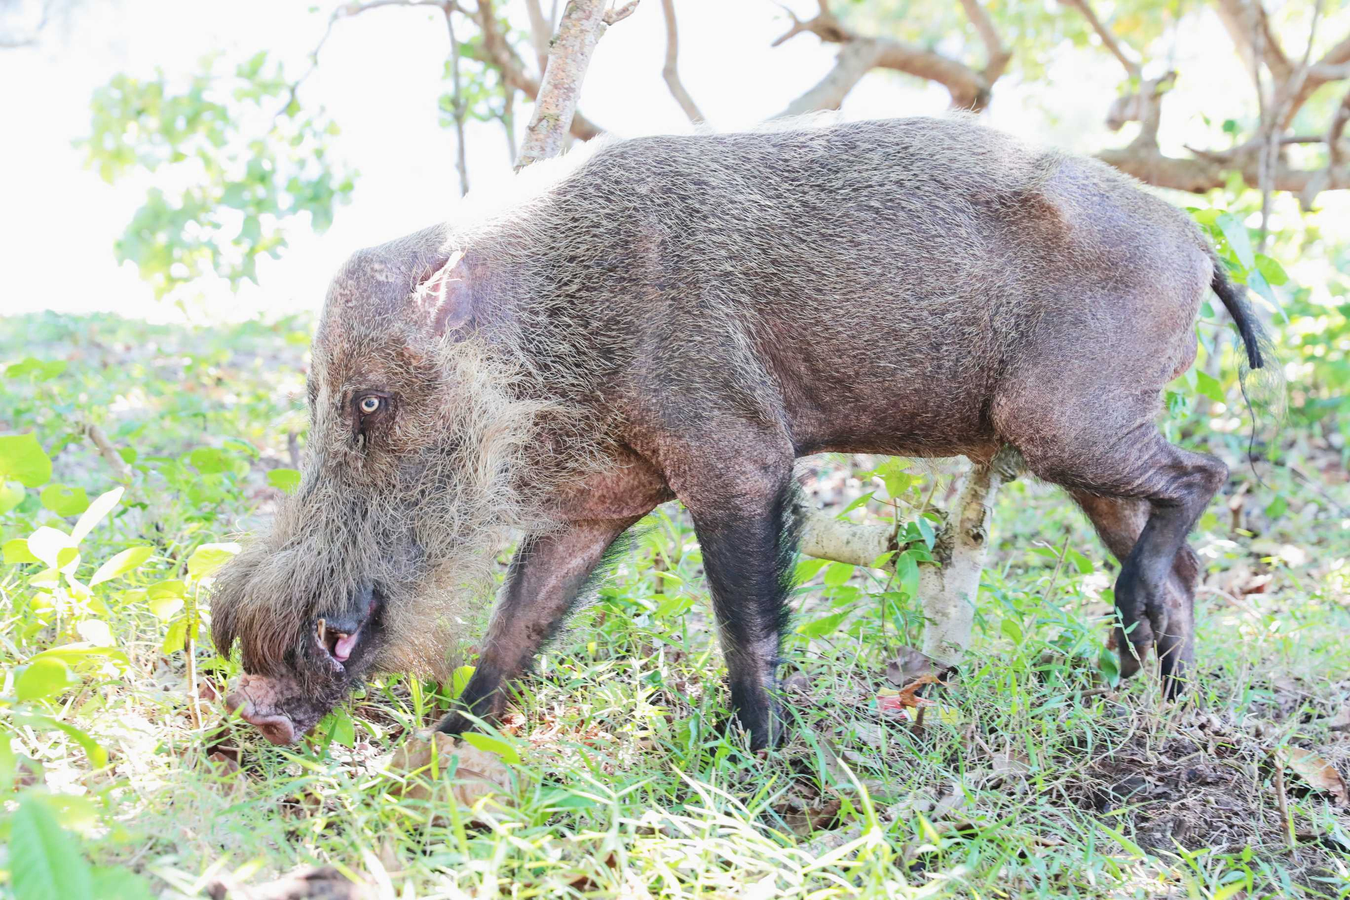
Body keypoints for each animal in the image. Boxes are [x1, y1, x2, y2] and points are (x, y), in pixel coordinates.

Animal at [213, 116, 1275, 750]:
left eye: (368, 403)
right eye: (319, 395)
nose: (253, 697)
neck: (552, 320)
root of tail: (1201, 243)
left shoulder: (739, 456)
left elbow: (745, 623)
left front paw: (763, 754)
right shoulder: (596, 503)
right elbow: (517, 624)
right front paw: (449, 743)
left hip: (1065, 422)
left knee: (1203, 479)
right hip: (1083, 443)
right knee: (1179, 566)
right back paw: (1166, 708)